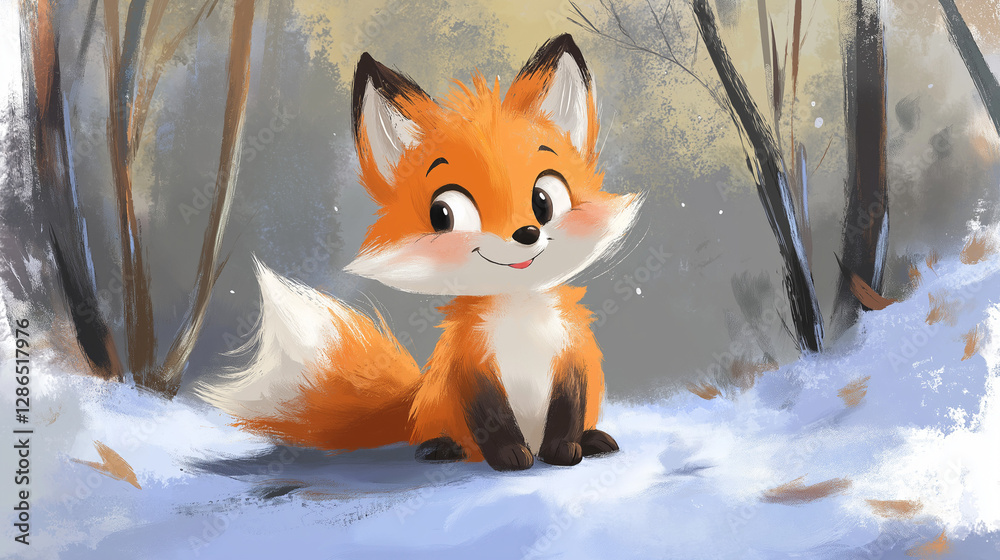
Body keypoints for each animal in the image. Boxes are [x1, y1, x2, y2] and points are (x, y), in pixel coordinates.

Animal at [196, 34, 644, 471]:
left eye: (544, 200)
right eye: (444, 214)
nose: (527, 233)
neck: (520, 318)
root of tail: (413, 403)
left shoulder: (572, 357)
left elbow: (568, 412)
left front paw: (565, 449)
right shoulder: (470, 370)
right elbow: (492, 420)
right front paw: (510, 458)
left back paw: (594, 439)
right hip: (441, 407)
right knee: (446, 437)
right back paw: (442, 448)